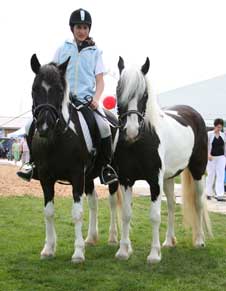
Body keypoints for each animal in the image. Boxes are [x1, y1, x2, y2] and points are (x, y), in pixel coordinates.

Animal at [28, 54, 119, 262]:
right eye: (35, 88)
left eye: (60, 90)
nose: (44, 126)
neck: (56, 139)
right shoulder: (45, 178)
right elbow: (48, 212)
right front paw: (48, 248)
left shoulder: (77, 176)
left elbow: (77, 213)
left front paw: (77, 253)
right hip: (89, 177)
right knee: (93, 202)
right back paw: (91, 238)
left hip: (111, 176)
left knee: (111, 202)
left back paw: (112, 238)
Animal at [115, 56, 212, 264]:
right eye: (119, 90)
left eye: (144, 94)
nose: (131, 131)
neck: (141, 141)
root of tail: (194, 113)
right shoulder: (126, 180)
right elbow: (126, 214)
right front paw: (123, 251)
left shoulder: (154, 181)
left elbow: (154, 216)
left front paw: (154, 254)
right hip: (168, 178)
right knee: (171, 205)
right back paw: (168, 241)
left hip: (198, 171)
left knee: (198, 202)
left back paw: (199, 240)